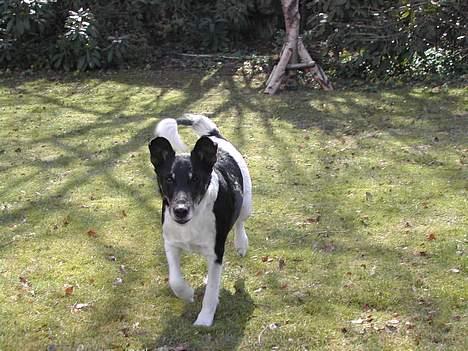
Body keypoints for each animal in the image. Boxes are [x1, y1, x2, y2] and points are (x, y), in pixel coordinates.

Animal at [150, 115, 252, 328]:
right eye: (169, 179)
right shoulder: (171, 244)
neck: (192, 221)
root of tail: (214, 137)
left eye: (195, 179)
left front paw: (204, 319)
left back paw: (241, 244)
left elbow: (212, 291)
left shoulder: (216, 251)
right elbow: (175, 280)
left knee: (240, 221)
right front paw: (187, 293)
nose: (180, 211)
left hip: (247, 203)